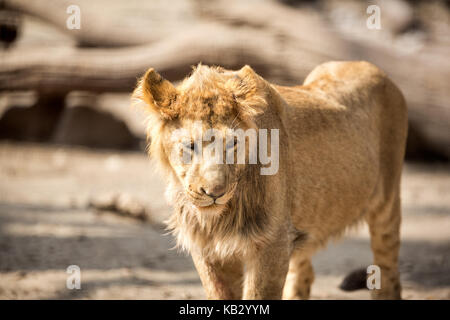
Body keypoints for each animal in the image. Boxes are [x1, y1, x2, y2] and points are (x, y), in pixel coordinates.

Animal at [131, 60, 408, 300]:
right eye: (190, 146)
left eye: (232, 144)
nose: (215, 192)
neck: (222, 215)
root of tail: (372, 67)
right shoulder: (207, 247)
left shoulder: (272, 243)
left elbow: (258, 294)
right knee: (304, 271)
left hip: (386, 203)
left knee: (388, 271)